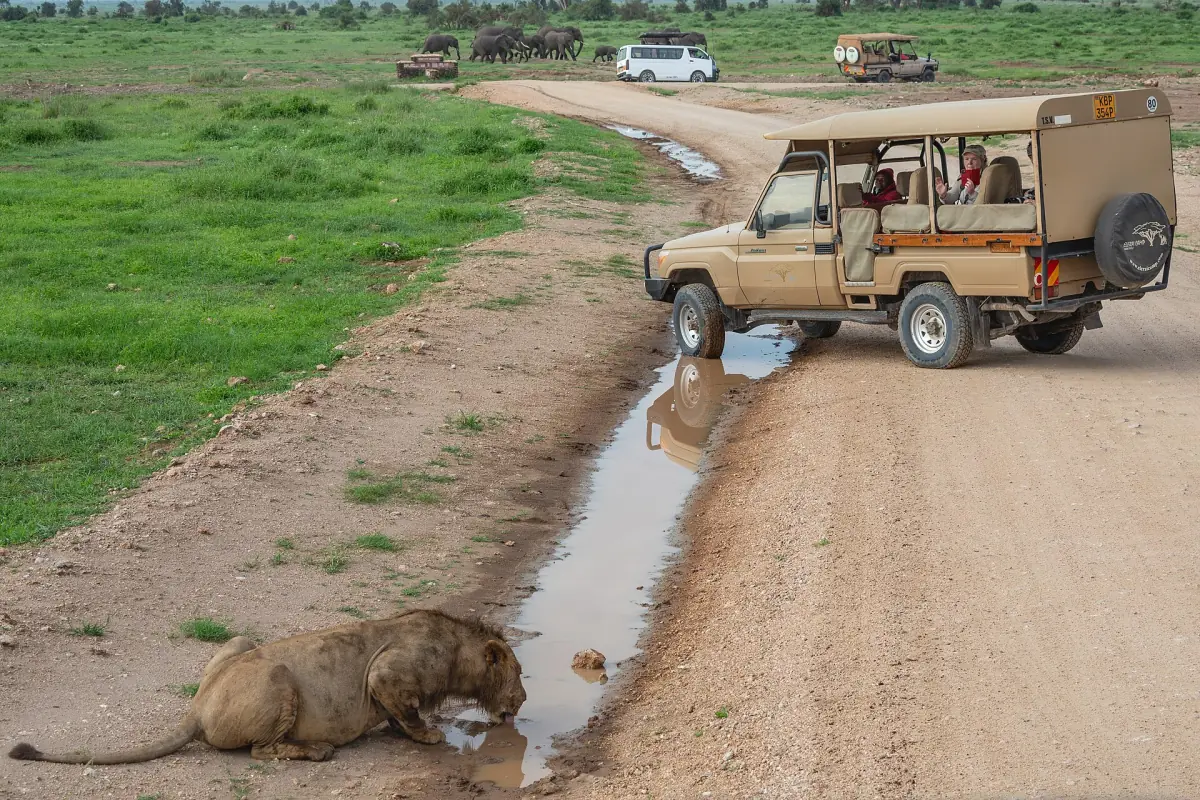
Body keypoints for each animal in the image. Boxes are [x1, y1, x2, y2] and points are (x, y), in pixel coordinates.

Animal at [8, 609, 525, 764]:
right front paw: (429, 735)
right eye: (520, 674)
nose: (521, 701)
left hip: (239, 643)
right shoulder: (388, 673)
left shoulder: (390, 687)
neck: (455, 647)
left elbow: (399, 715)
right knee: (261, 751)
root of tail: (197, 708)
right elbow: (410, 712)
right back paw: (315, 751)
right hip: (279, 681)